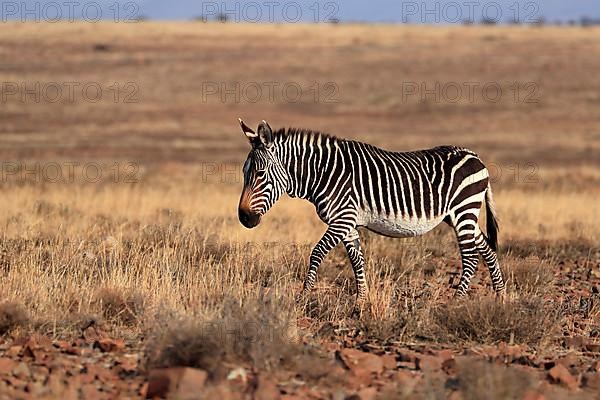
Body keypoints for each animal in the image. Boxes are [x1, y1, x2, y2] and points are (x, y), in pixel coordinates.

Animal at [237, 119, 504, 306]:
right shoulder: (348, 223)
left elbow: (317, 254)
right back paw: (500, 296)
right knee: (487, 249)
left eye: (260, 173)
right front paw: (361, 302)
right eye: (243, 172)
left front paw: (303, 297)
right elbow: (357, 261)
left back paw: (457, 301)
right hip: (458, 215)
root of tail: (475, 156)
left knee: (471, 257)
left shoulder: (341, 219)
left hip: (464, 210)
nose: (244, 217)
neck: (323, 174)